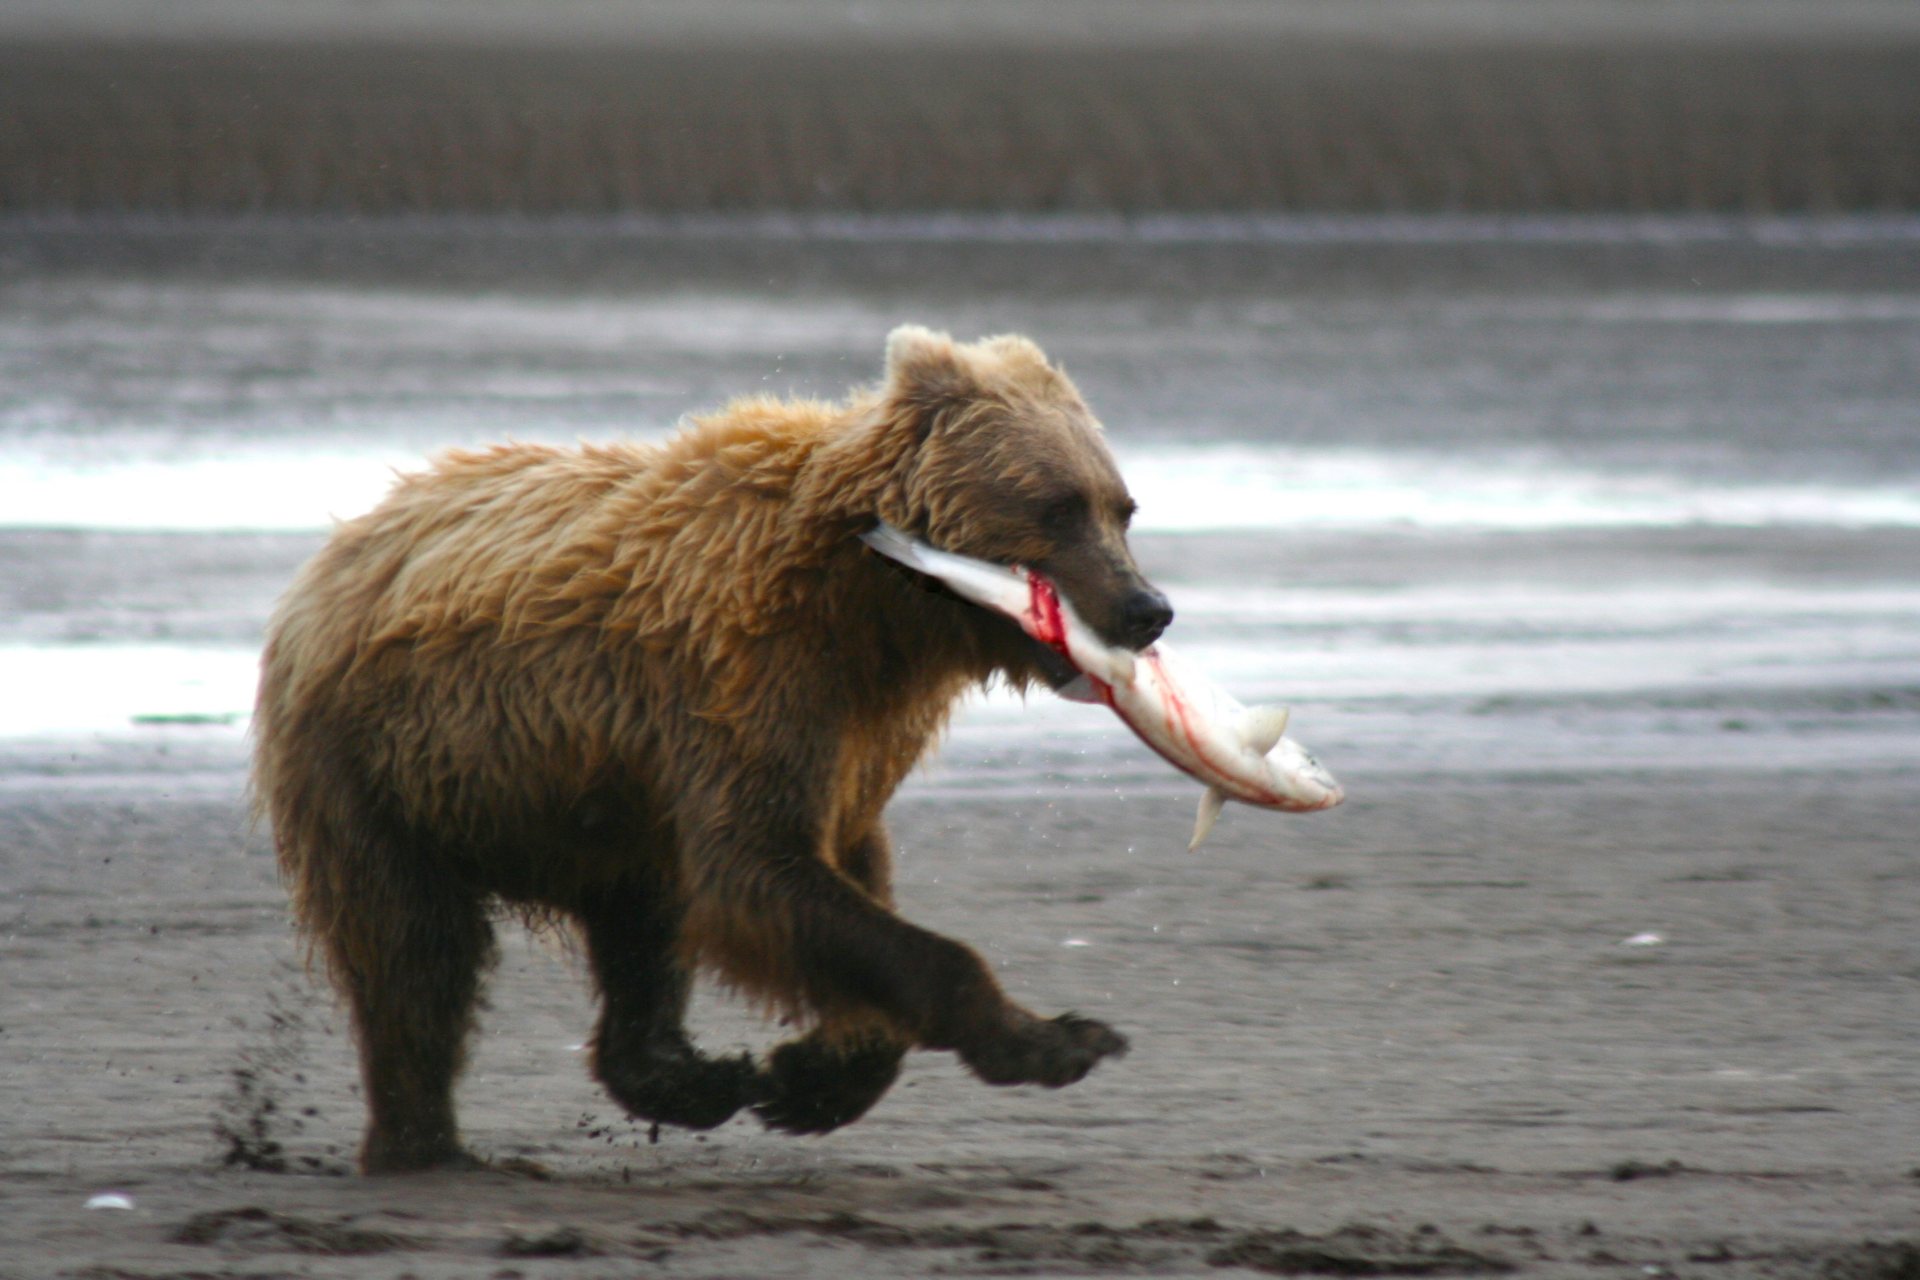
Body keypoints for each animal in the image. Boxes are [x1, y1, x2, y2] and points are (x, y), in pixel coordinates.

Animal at [253, 328, 1167, 1174]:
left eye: (1122, 507)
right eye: (1057, 505)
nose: (1146, 608)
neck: (882, 610)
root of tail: (343, 543)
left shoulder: (857, 733)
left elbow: (839, 866)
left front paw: (808, 1077)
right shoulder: (753, 674)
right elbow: (757, 869)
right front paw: (1060, 1039)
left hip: (595, 801)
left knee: (640, 928)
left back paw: (687, 1076)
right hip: (384, 768)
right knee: (415, 955)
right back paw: (425, 1144)